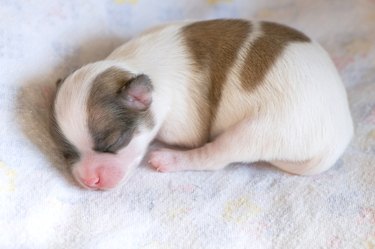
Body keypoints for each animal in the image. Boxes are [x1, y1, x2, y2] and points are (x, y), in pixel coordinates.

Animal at [51, 19, 354, 191]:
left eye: (115, 143)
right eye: (67, 152)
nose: (90, 181)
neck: (133, 64)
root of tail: (338, 139)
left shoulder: (181, 124)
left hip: (261, 130)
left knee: (215, 157)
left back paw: (169, 160)